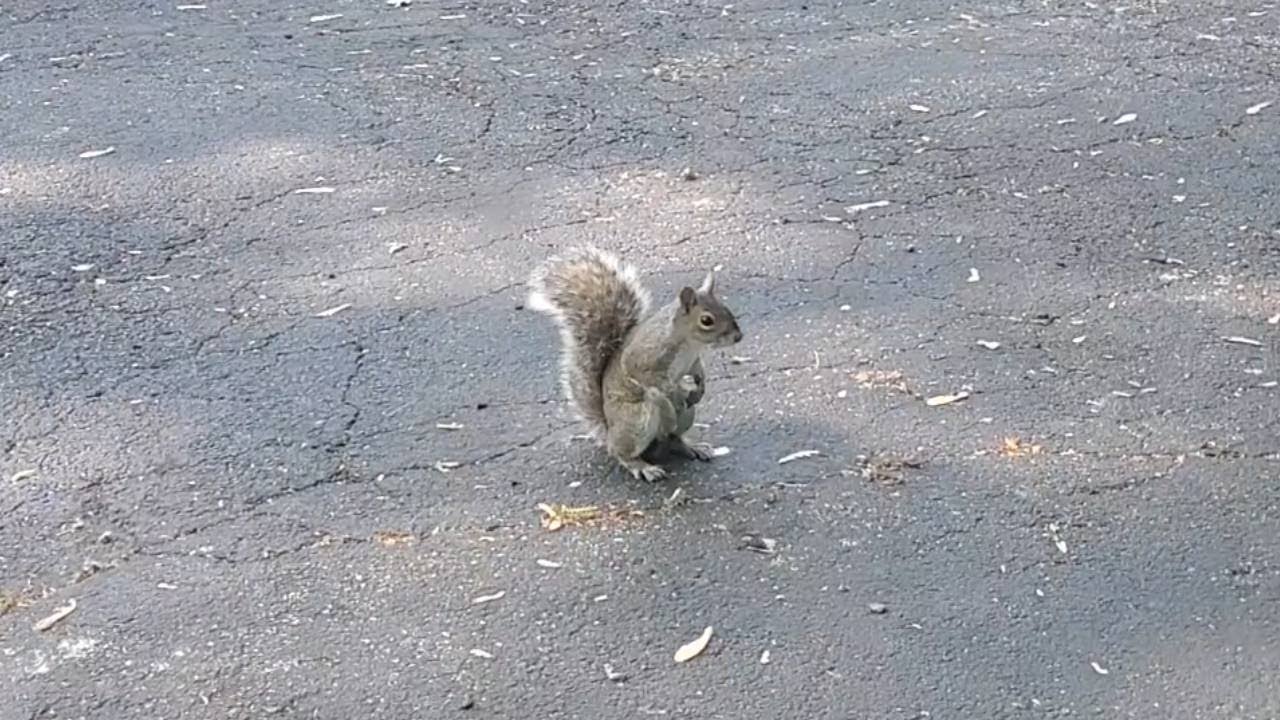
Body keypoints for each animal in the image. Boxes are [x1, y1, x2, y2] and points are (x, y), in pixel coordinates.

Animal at [527, 246, 743, 481]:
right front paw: (677, 392)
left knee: (674, 438)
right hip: (636, 421)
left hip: (687, 415)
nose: (738, 337)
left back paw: (692, 446)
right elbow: (646, 375)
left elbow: (698, 371)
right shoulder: (645, 356)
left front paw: (700, 388)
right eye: (706, 320)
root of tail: (609, 430)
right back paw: (642, 465)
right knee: (622, 450)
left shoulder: (693, 359)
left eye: (726, 308)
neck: (689, 342)